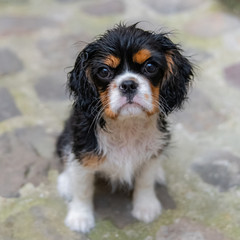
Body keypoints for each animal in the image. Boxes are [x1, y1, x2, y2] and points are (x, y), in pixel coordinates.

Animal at [57, 23, 194, 232]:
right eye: (104, 71)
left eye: (150, 67)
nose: (128, 84)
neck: (127, 124)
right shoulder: (84, 152)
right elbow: (83, 189)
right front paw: (80, 217)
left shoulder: (152, 150)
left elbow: (145, 181)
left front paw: (146, 207)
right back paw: (66, 183)